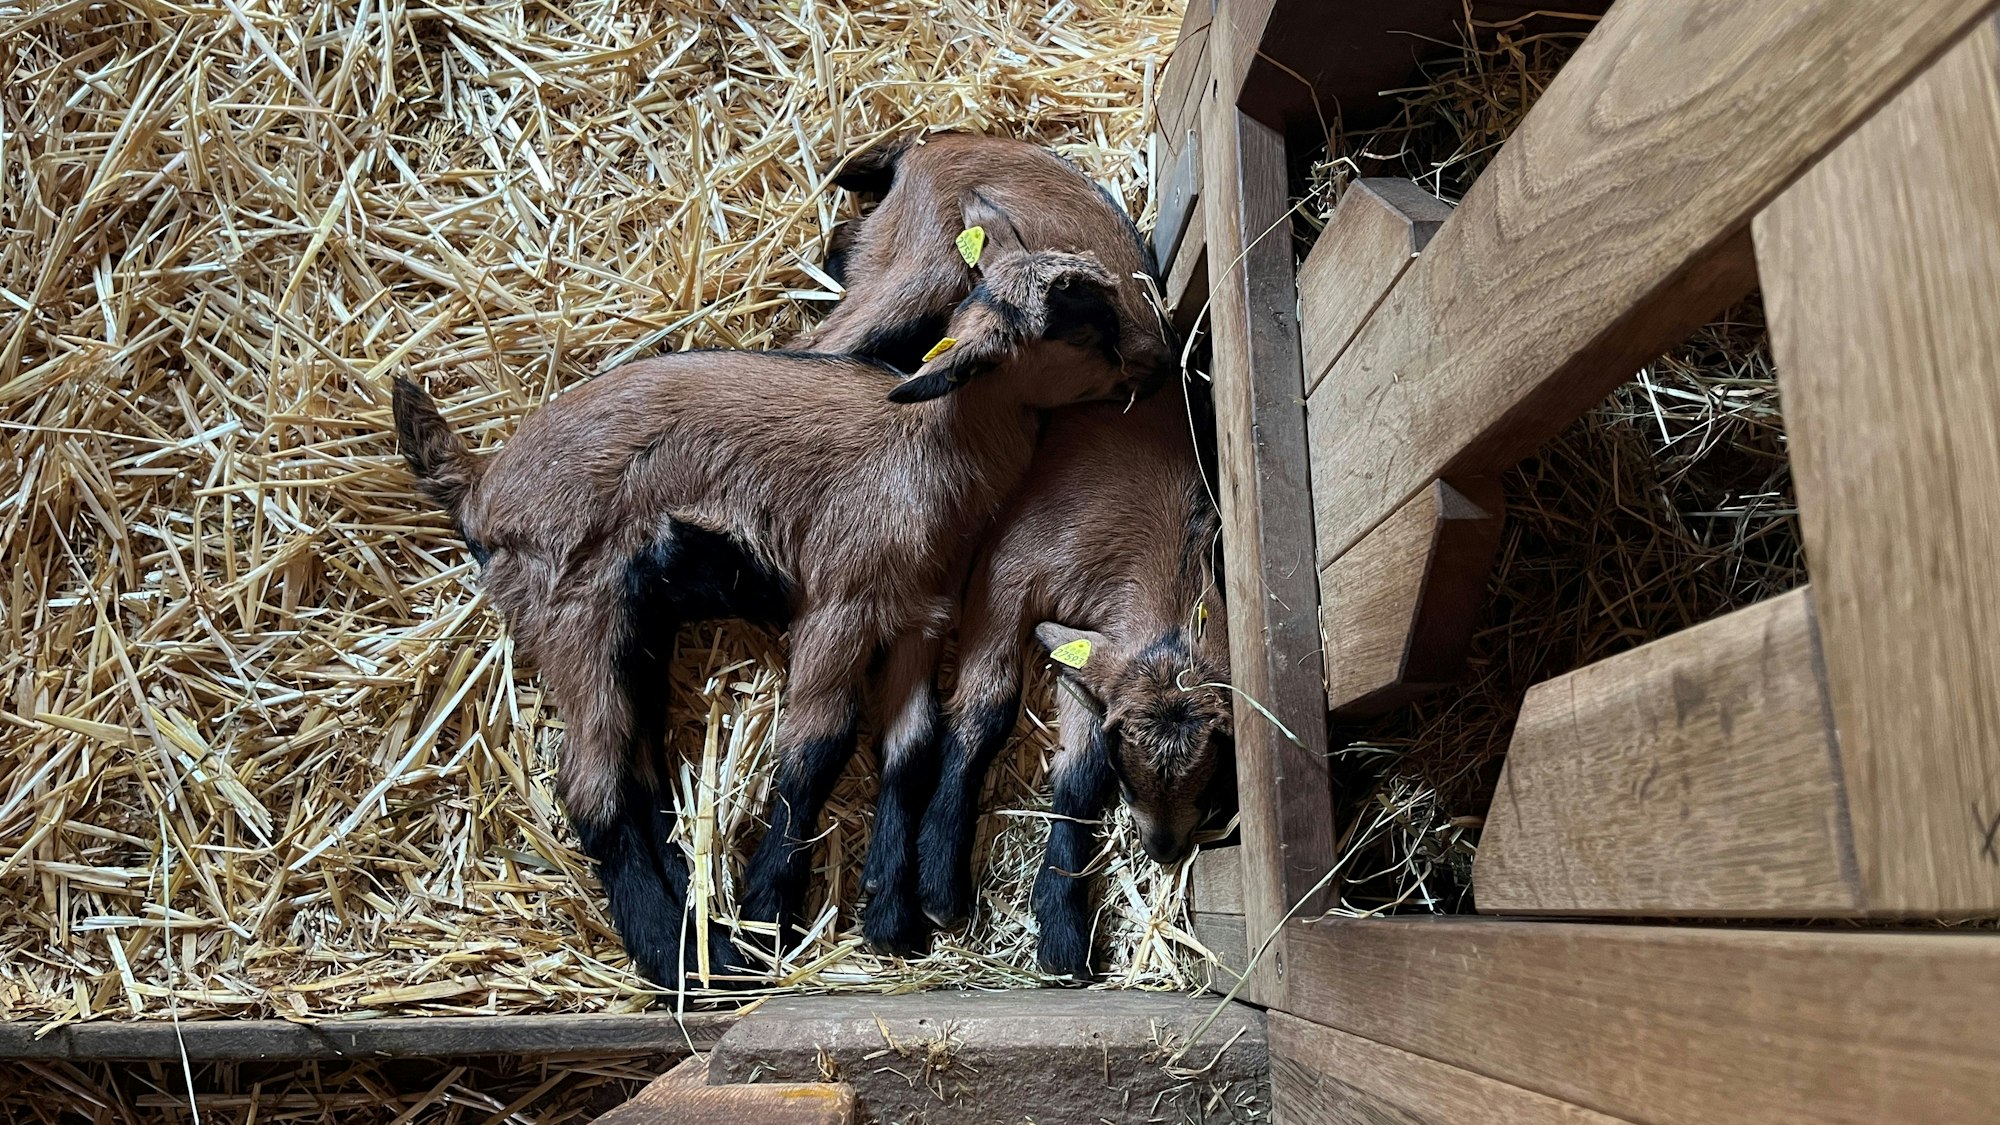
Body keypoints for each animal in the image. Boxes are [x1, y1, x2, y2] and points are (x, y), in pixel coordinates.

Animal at [391, 200, 1141, 987]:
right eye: (1080, 330)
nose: (1146, 367)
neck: (926, 447)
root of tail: (479, 492)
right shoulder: (839, 607)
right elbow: (817, 743)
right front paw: (771, 912)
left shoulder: (917, 619)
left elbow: (909, 744)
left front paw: (891, 917)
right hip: (573, 614)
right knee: (593, 789)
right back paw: (686, 954)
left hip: (636, 632)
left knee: (639, 773)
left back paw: (699, 935)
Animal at [914, 389, 1233, 977]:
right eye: (1125, 784)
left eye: (1211, 784)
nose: (1164, 850)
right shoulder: (1008, 571)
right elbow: (986, 708)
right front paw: (940, 881)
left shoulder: (1093, 654)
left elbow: (1080, 769)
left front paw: (1061, 924)